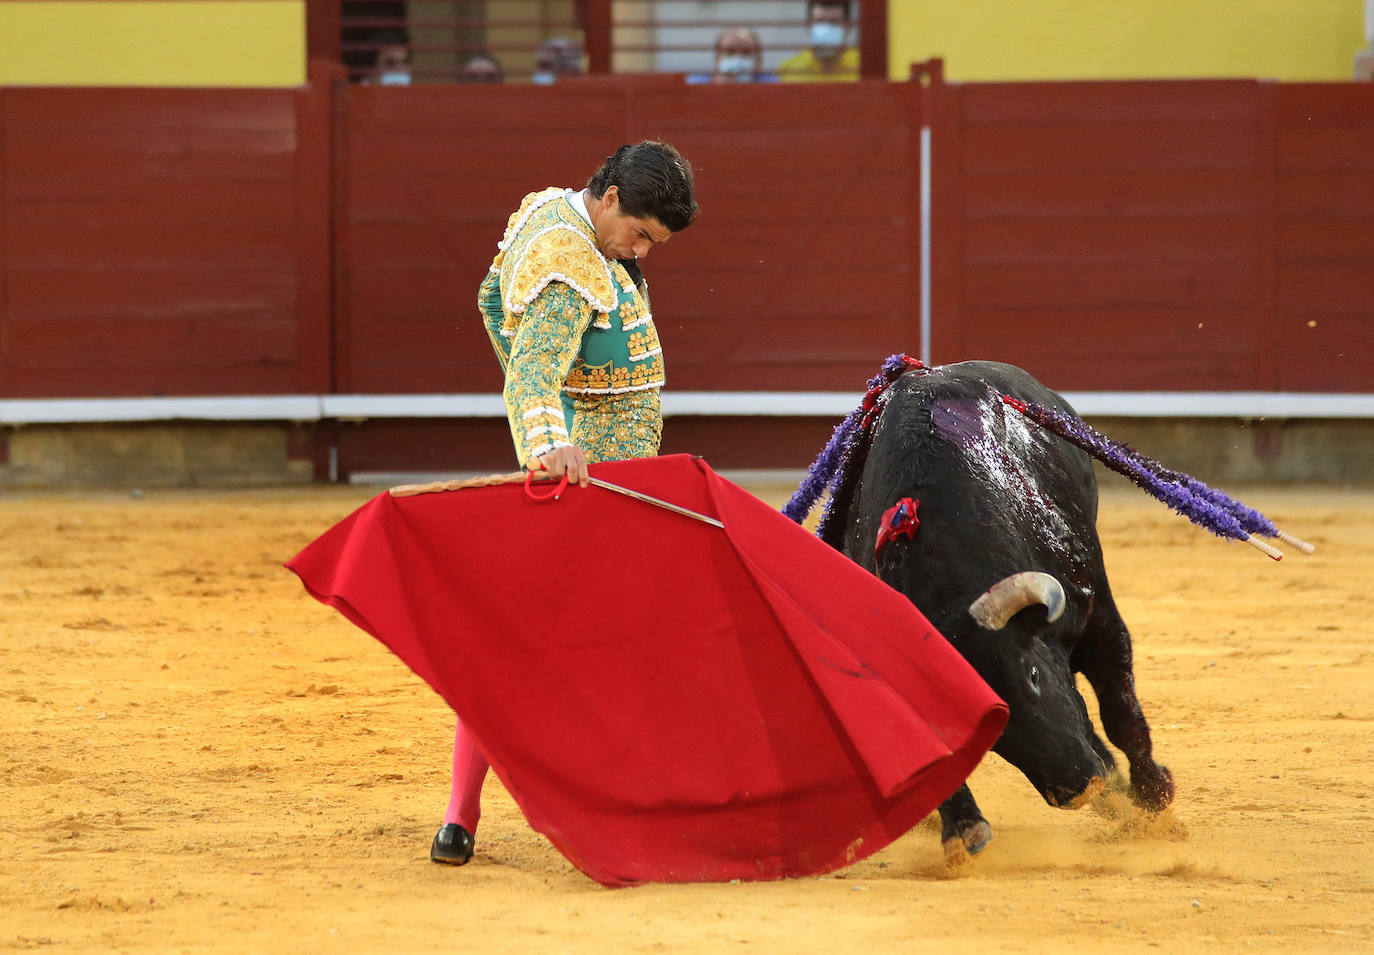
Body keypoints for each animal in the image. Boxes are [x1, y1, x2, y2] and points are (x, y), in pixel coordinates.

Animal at [818, 360, 1176, 868]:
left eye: (1032, 676)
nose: (1077, 790)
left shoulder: (1097, 613)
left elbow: (1118, 706)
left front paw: (1153, 794)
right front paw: (963, 830)